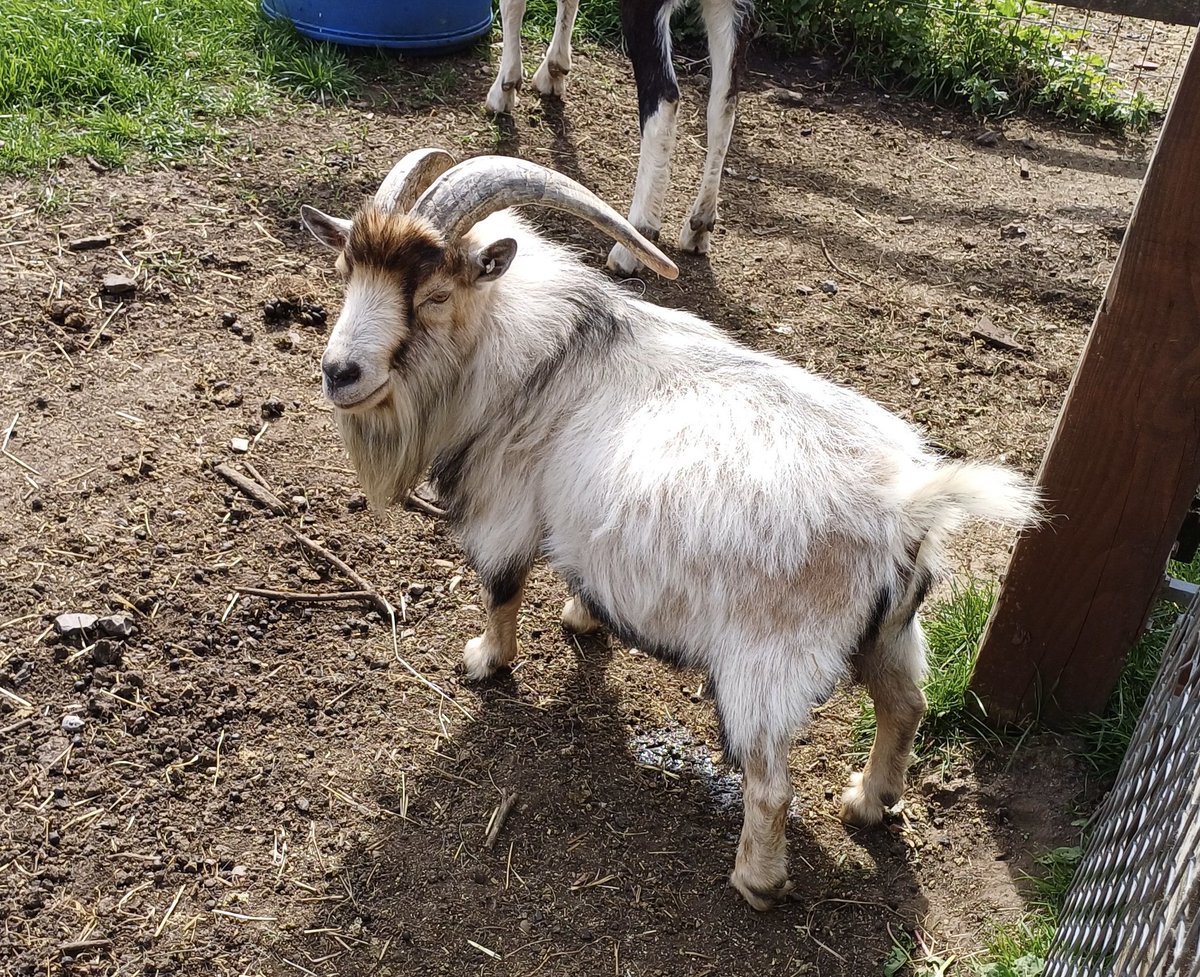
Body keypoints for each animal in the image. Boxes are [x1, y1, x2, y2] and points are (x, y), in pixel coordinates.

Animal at [302, 151, 1041, 912]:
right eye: (347, 272)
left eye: (437, 294)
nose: (339, 372)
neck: (544, 354)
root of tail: (906, 505)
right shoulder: (583, 521)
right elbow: (579, 572)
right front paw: (582, 617)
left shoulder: (507, 513)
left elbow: (500, 590)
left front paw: (484, 660)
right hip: (892, 631)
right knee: (907, 705)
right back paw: (866, 801)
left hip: (763, 666)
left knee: (772, 785)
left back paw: (756, 881)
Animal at [484, 0, 748, 276]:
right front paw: (553, 70)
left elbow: (511, 5)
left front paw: (505, 88)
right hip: (729, 10)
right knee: (724, 102)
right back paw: (700, 225)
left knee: (665, 99)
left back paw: (636, 242)